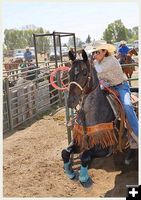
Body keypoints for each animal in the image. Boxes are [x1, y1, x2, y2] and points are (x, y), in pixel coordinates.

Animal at [61, 50, 135, 188]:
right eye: (68, 72)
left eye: (85, 72)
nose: (70, 101)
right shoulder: (80, 140)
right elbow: (65, 151)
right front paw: (70, 173)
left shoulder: (105, 148)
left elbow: (85, 156)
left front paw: (84, 178)